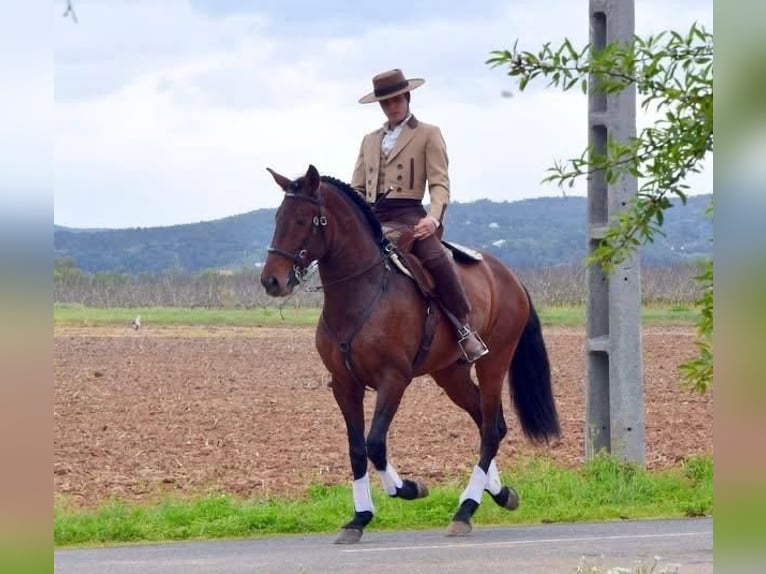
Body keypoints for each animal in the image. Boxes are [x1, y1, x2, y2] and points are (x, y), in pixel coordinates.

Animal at [260, 164, 560, 544]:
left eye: (304, 220)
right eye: (278, 217)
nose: (272, 281)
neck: (361, 292)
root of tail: (510, 276)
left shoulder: (394, 379)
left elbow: (375, 443)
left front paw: (409, 488)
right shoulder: (344, 384)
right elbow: (357, 450)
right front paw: (358, 518)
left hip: (494, 361)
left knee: (491, 430)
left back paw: (465, 509)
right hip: (450, 374)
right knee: (489, 423)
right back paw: (499, 494)